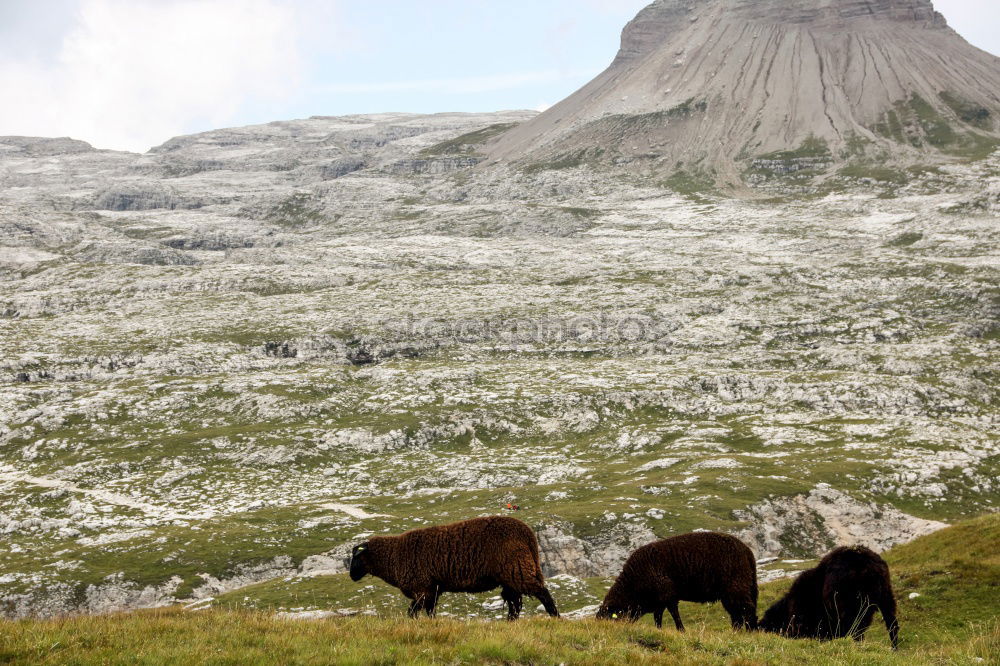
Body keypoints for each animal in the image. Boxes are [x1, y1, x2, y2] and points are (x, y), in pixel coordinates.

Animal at [348, 512, 560, 616]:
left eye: (356, 558)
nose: (351, 576)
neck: (393, 555)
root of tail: (528, 534)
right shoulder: (432, 590)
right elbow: (429, 612)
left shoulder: (422, 589)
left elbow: (412, 612)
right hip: (511, 575)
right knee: (515, 604)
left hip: (516, 569)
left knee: (542, 594)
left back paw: (555, 617)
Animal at [592, 528, 756, 628]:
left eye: (608, 618)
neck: (633, 585)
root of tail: (747, 551)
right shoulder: (658, 600)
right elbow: (658, 617)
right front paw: (659, 630)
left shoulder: (667, 595)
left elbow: (674, 614)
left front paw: (681, 630)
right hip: (733, 591)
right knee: (737, 614)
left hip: (736, 586)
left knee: (746, 610)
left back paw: (749, 632)